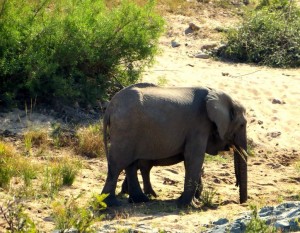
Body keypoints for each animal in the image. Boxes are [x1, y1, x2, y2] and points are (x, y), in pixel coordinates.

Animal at [102, 83, 247, 207]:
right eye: (242, 125)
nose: (241, 202)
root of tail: (110, 107)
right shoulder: (199, 125)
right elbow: (194, 157)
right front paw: (188, 206)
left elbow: (190, 160)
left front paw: (190, 201)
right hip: (125, 128)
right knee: (117, 164)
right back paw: (111, 204)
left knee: (131, 165)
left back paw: (140, 200)